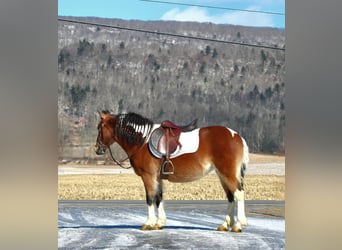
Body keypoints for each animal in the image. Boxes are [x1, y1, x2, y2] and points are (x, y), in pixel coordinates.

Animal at [95, 111, 250, 232]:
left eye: (100, 127)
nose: (98, 149)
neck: (142, 141)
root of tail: (236, 136)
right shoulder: (157, 178)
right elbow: (159, 198)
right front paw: (159, 223)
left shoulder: (148, 176)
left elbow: (150, 198)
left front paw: (148, 223)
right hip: (222, 174)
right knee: (230, 196)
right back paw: (225, 225)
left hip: (228, 173)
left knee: (238, 193)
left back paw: (238, 224)